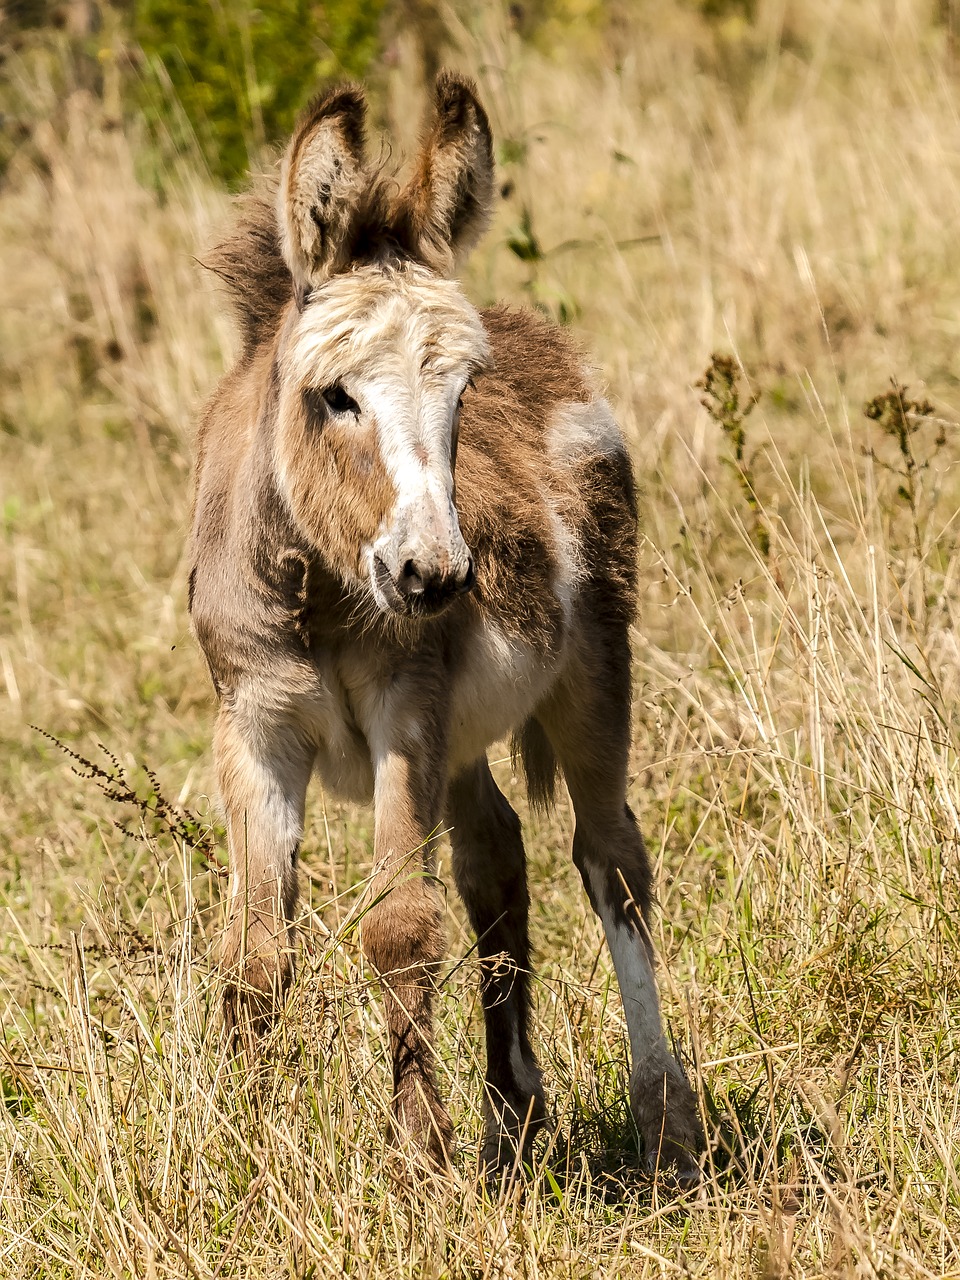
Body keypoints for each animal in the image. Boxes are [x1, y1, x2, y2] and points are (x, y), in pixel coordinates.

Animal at [188, 72, 701, 1177]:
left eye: (464, 393)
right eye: (334, 397)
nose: (436, 577)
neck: (318, 586)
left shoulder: (405, 714)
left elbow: (400, 928)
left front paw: (420, 1159)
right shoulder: (254, 728)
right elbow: (254, 953)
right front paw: (245, 1151)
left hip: (592, 674)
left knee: (613, 863)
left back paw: (663, 1117)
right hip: (465, 737)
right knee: (496, 857)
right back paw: (515, 1111)